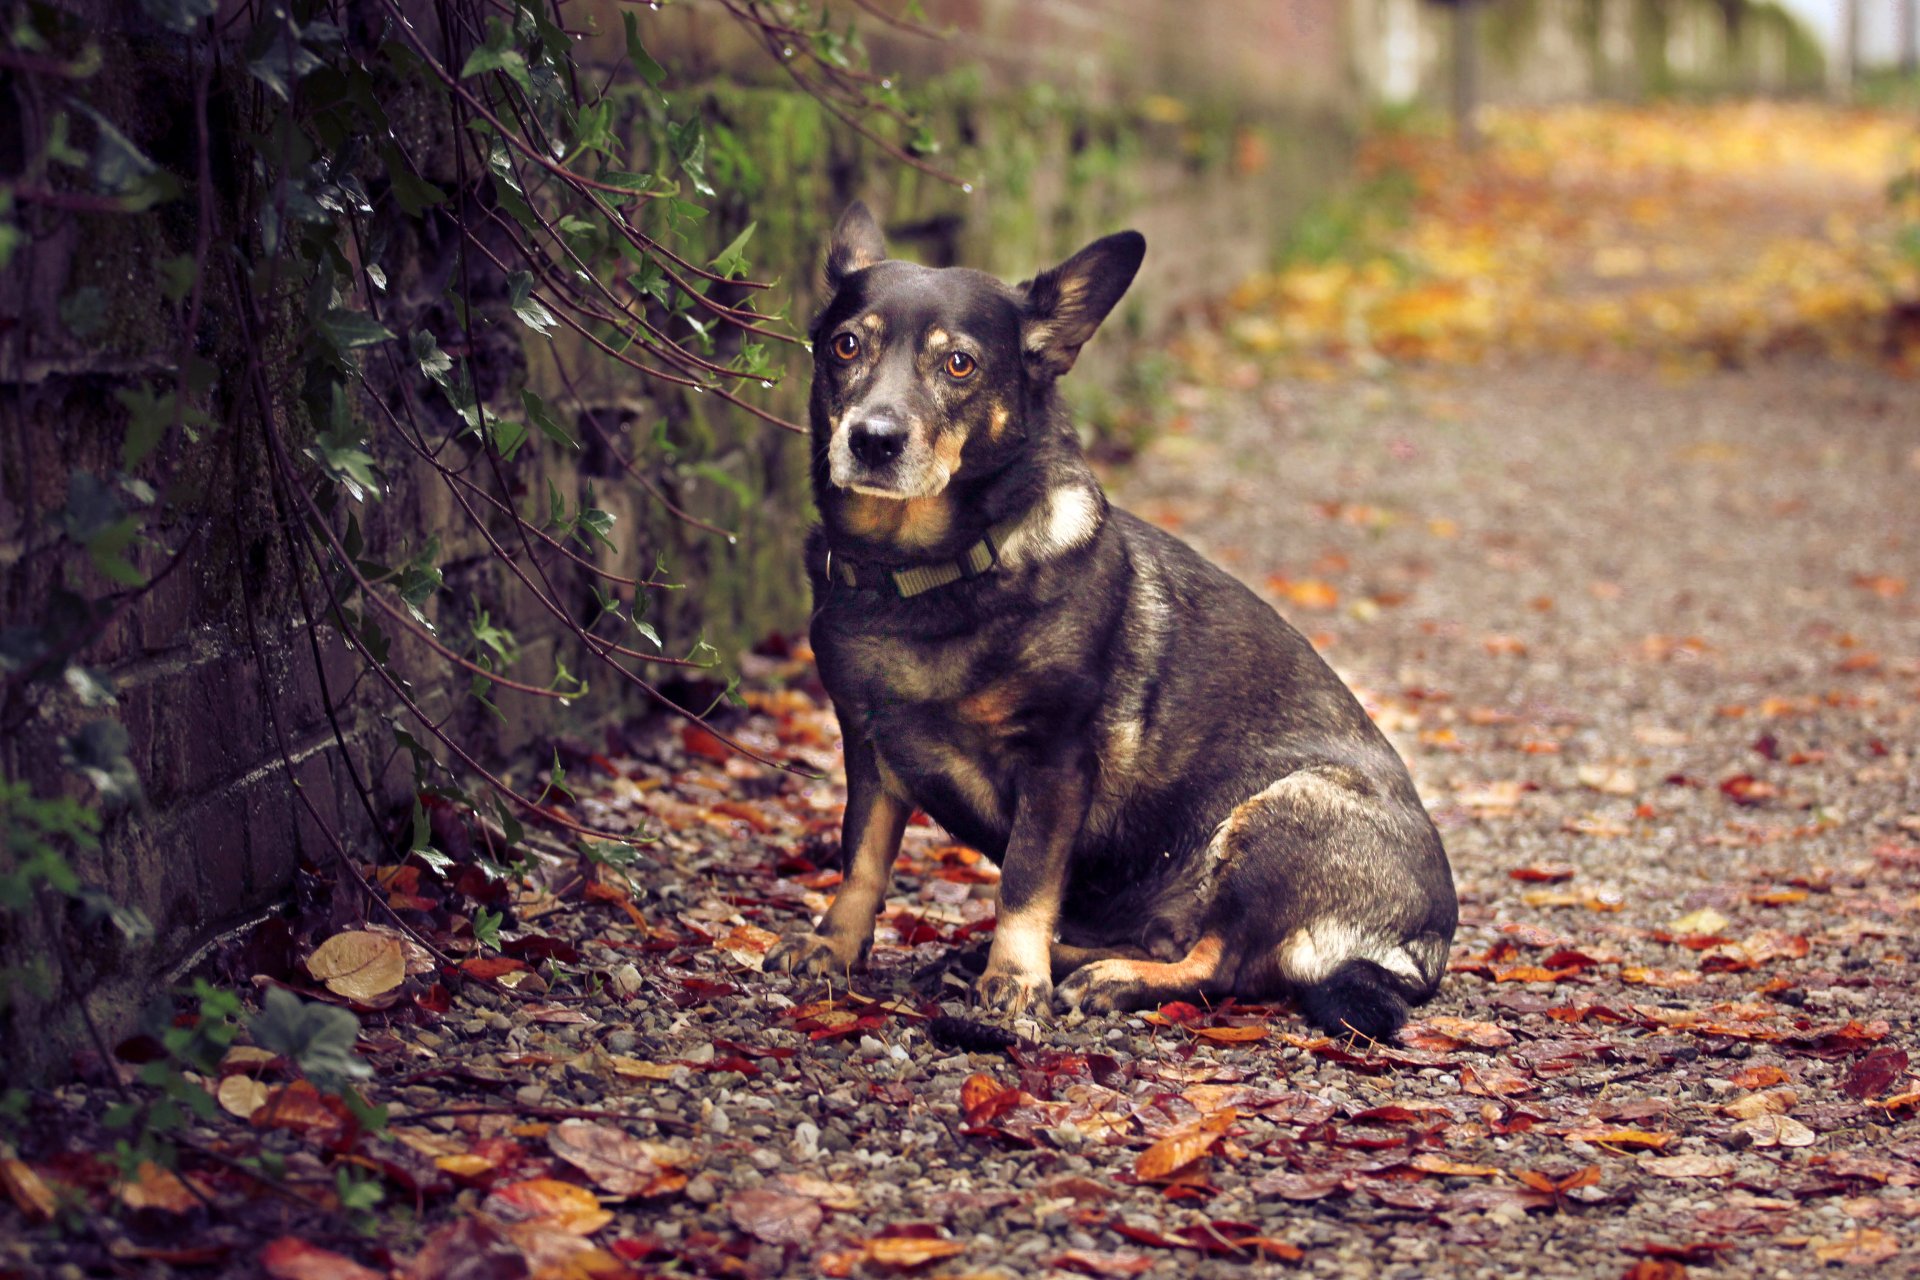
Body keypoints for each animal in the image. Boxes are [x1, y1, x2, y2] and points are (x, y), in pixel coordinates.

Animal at [764, 202, 1451, 1043]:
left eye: (958, 364)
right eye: (845, 346)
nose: (871, 439)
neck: (927, 573)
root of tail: (1418, 950)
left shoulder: (1056, 764)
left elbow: (1025, 880)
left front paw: (1014, 980)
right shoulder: (868, 748)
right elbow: (860, 859)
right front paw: (833, 947)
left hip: (1282, 814)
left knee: (1217, 963)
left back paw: (1102, 979)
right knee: (1172, 940)